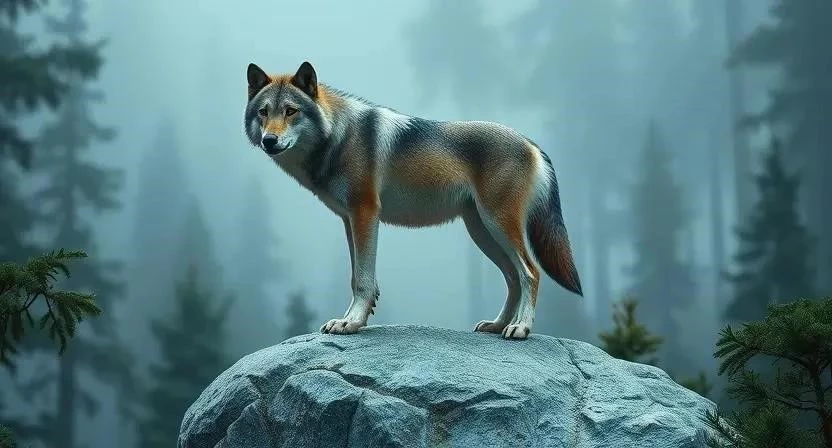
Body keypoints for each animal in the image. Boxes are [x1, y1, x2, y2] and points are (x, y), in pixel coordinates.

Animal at [244, 61, 582, 340]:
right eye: (264, 112)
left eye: (290, 111)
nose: (269, 141)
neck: (338, 136)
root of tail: (532, 144)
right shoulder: (349, 219)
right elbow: (357, 276)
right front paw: (356, 318)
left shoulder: (365, 213)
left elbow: (362, 279)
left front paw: (350, 322)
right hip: (482, 232)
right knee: (513, 278)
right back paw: (497, 325)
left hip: (498, 226)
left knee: (530, 273)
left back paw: (520, 328)